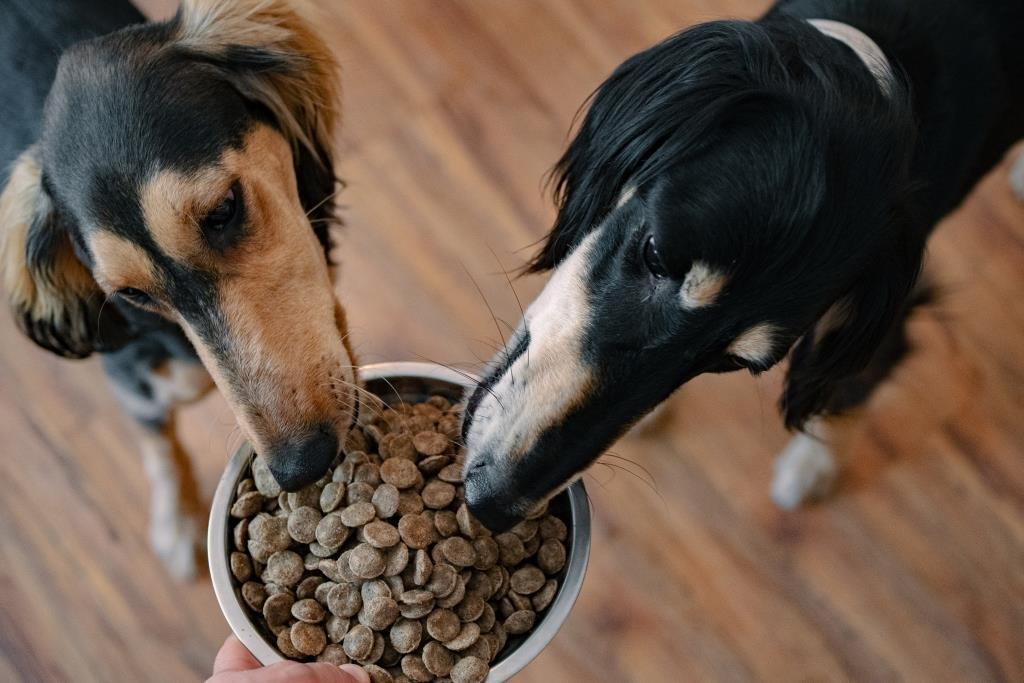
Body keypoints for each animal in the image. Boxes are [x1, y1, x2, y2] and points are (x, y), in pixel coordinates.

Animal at [1, 0, 356, 577]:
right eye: (132, 295)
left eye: (223, 211)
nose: (301, 466)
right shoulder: (133, 373)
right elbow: (159, 443)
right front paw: (177, 518)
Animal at [464, 0, 1024, 528]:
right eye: (655, 255)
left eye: (731, 362)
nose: (491, 504)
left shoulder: (887, 312)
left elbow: (843, 391)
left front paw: (811, 467)